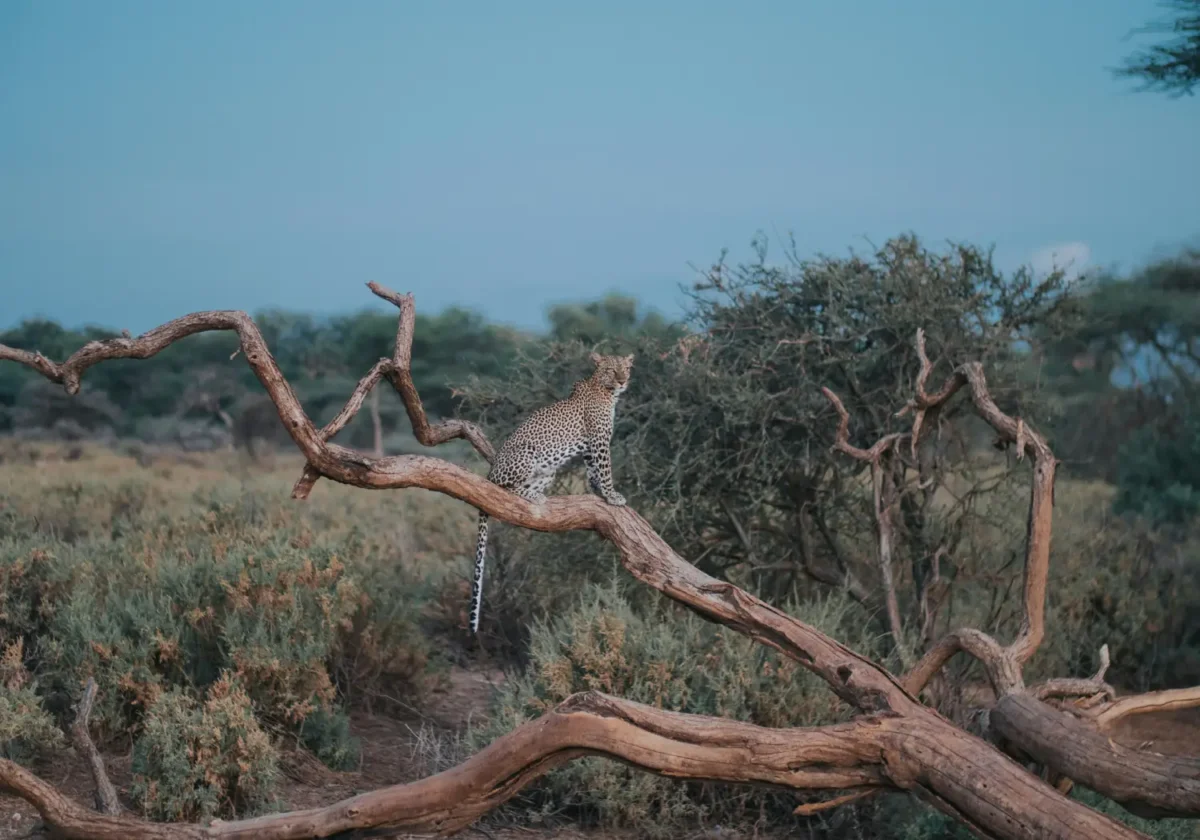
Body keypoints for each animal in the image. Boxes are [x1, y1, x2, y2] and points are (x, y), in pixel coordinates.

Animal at [469, 352, 634, 634]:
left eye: (626, 368)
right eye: (612, 370)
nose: (623, 381)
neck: (606, 392)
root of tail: (490, 472)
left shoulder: (590, 447)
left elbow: (593, 471)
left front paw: (598, 490)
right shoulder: (599, 440)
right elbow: (605, 470)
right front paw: (612, 495)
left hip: (548, 472)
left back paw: (539, 496)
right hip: (527, 455)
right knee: (506, 489)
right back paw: (530, 496)